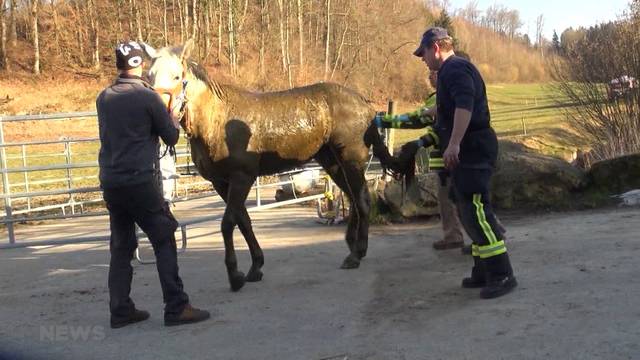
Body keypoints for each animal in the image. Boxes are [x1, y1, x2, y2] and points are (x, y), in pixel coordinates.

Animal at [146, 40, 396, 292]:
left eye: (177, 76)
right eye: (149, 76)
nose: (157, 111)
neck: (216, 120)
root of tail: (365, 105)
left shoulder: (242, 178)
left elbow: (228, 223)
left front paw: (235, 276)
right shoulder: (221, 182)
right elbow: (244, 221)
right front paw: (255, 266)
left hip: (351, 161)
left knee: (362, 199)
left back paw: (356, 254)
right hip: (332, 163)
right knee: (352, 198)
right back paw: (352, 245)